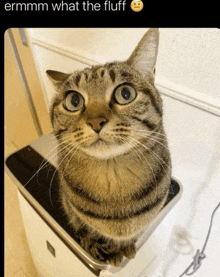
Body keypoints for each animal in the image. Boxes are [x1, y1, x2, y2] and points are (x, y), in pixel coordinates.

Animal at [45, 28, 171, 266]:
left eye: (125, 94)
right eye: (73, 101)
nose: (96, 122)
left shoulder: (147, 219)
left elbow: (134, 234)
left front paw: (124, 247)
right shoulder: (74, 209)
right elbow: (89, 229)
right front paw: (100, 247)